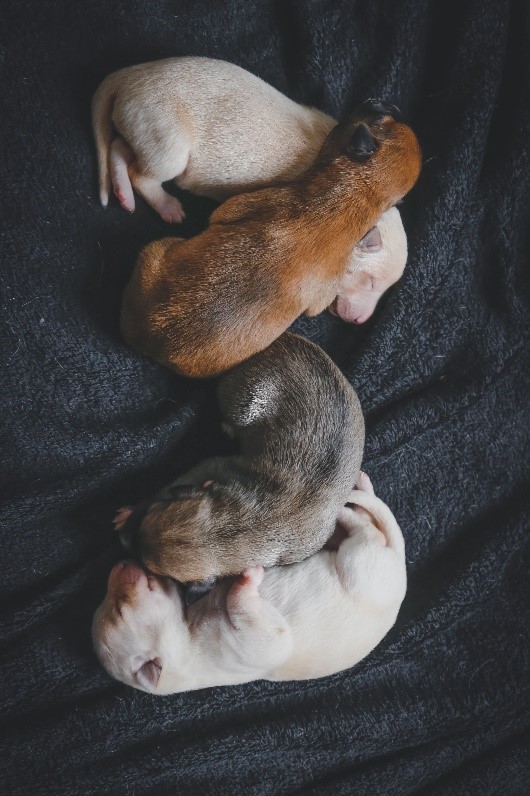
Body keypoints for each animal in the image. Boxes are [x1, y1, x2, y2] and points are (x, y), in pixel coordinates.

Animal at [91, 55, 406, 324]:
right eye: (371, 281)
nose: (359, 321)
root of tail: (126, 76)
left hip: (143, 130)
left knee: (120, 148)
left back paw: (124, 195)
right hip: (167, 138)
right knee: (141, 174)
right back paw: (168, 206)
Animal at [92, 476, 404, 692]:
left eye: (109, 603)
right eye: (119, 611)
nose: (117, 566)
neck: (187, 631)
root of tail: (399, 562)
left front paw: (126, 516)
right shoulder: (256, 643)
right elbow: (246, 609)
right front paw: (247, 577)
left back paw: (359, 487)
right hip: (359, 563)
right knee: (364, 526)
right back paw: (345, 508)